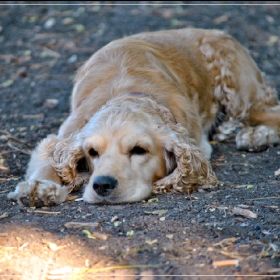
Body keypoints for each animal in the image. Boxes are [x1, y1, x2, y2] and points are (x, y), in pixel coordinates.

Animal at [7, 28, 278, 207]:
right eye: (92, 152)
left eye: (139, 150)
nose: (101, 185)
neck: (130, 92)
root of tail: (219, 32)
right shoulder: (63, 137)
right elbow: (48, 161)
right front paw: (40, 188)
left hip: (240, 94)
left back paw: (256, 135)